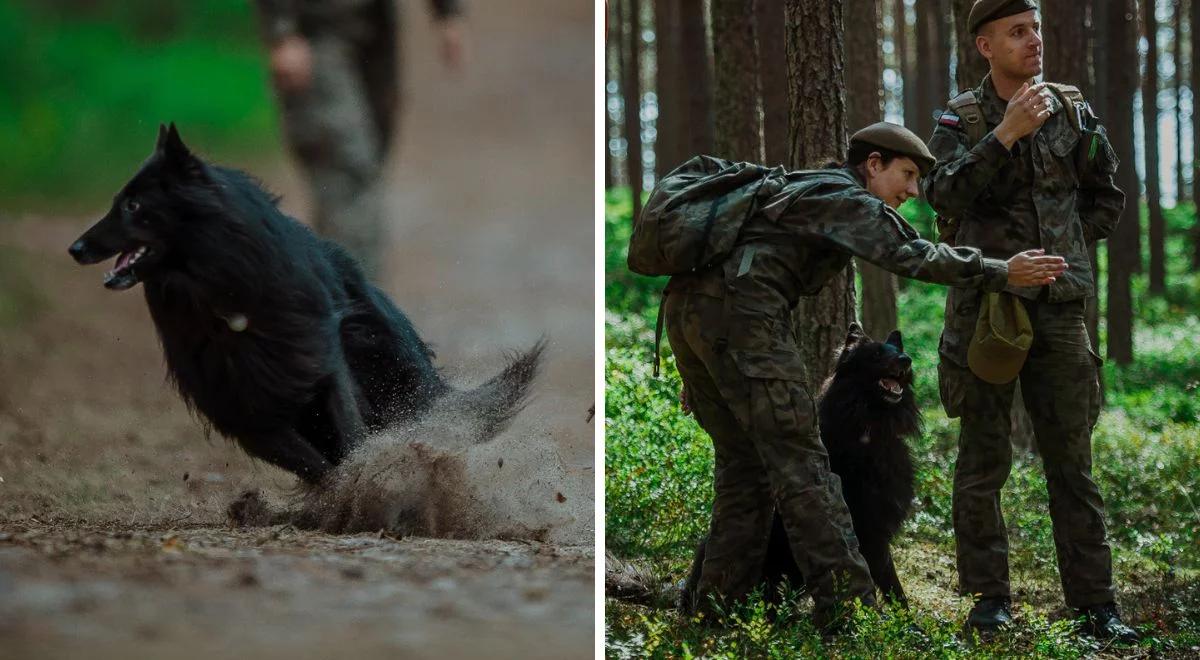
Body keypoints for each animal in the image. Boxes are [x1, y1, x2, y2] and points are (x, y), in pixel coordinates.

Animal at [71, 124, 544, 487]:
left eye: (133, 204)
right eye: (117, 202)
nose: (75, 248)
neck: (224, 295)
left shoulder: (319, 360)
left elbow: (351, 437)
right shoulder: (243, 410)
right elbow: (312, 464)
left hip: (389, 362)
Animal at [686, 324, 916, 609]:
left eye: (899, 351)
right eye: (875, 354)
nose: (907, 361)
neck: (869, 430)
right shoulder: (870, 531)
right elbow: (891, 584)